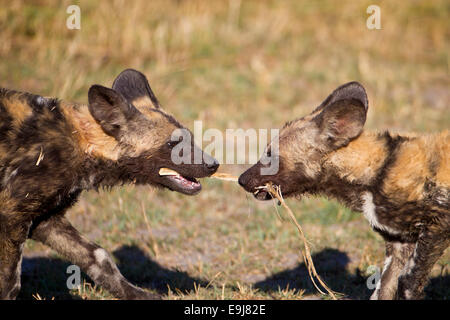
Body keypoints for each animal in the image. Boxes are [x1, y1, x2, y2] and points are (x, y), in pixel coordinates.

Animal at [0, 69, 218, 298]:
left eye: (190, 139)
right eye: (172, 144)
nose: (214, 164)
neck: (83, 142)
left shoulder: (46, 220)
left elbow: (99, 257)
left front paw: (136, 294)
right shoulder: (11, 216)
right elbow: (10, 281)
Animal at [237, 82, 448, 300]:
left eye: (271, 156)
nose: (241, 179)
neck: (378, 169)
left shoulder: (437, 226)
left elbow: (407, 284)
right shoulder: (400, 244)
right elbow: (383, 288)